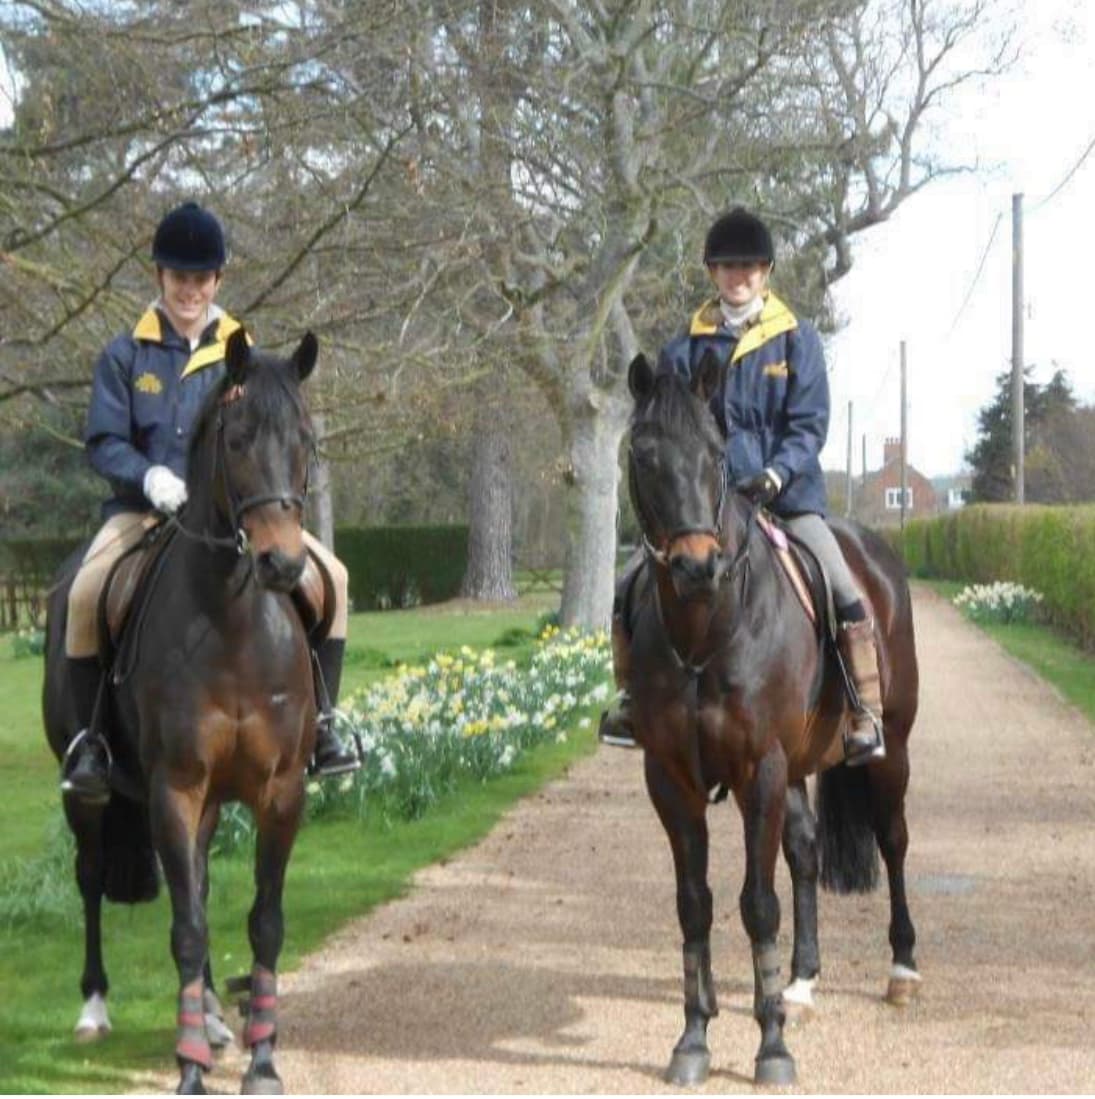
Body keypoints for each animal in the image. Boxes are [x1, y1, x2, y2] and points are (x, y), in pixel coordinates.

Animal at [43, 329, 321, 1095]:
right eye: (238, 436)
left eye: (307, 440)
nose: (283, 565)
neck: (234, 624)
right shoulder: (175, 786)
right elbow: (188, 926)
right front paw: (191, 1065)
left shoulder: (279, 792)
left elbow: (263, 920)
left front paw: (261, 1058)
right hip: (91, 796)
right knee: (93, 879)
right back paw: (96, 1006)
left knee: (194, 878)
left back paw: (218, 1018)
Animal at [622, 351, 920, 1086]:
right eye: (643, 454)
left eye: (715, 451)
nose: (696, 566)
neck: (706, 630)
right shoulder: (670, 778)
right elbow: (694, 904)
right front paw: (694, 1037)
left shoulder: (759, 770)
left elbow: (758, 905)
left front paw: (771, 1049)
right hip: (795, 768)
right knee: (805, 851)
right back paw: (800, 981)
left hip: (890, 749)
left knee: (893, 840)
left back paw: (902, 967)